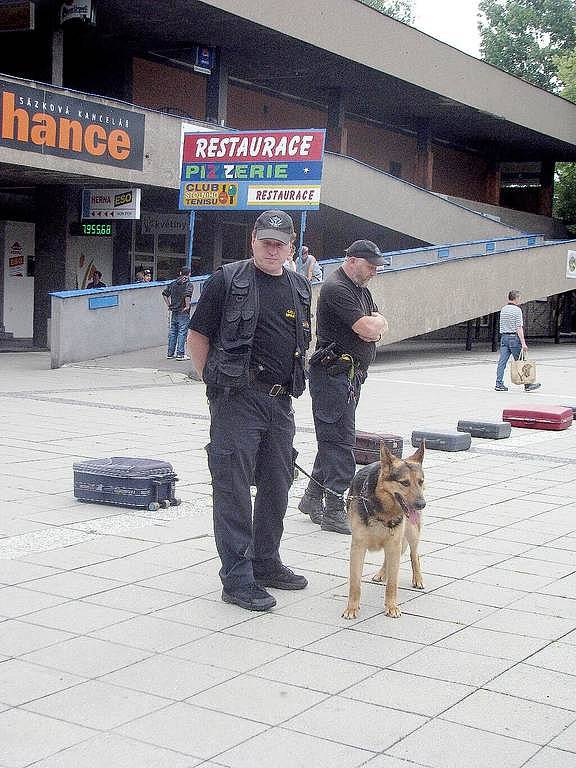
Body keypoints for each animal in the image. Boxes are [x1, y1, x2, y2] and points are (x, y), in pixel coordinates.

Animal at [342, 440, 424, 620]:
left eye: (421, 481)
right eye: (405, 482)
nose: (422, 504)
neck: (382, 510)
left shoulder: (393, 544)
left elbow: (392, 584)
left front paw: (391, 606)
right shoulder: (358, 548)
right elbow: (355, 583)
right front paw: (352, 608)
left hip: (411, 533)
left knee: (414, 554)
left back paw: (418, 578)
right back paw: (382, 573)